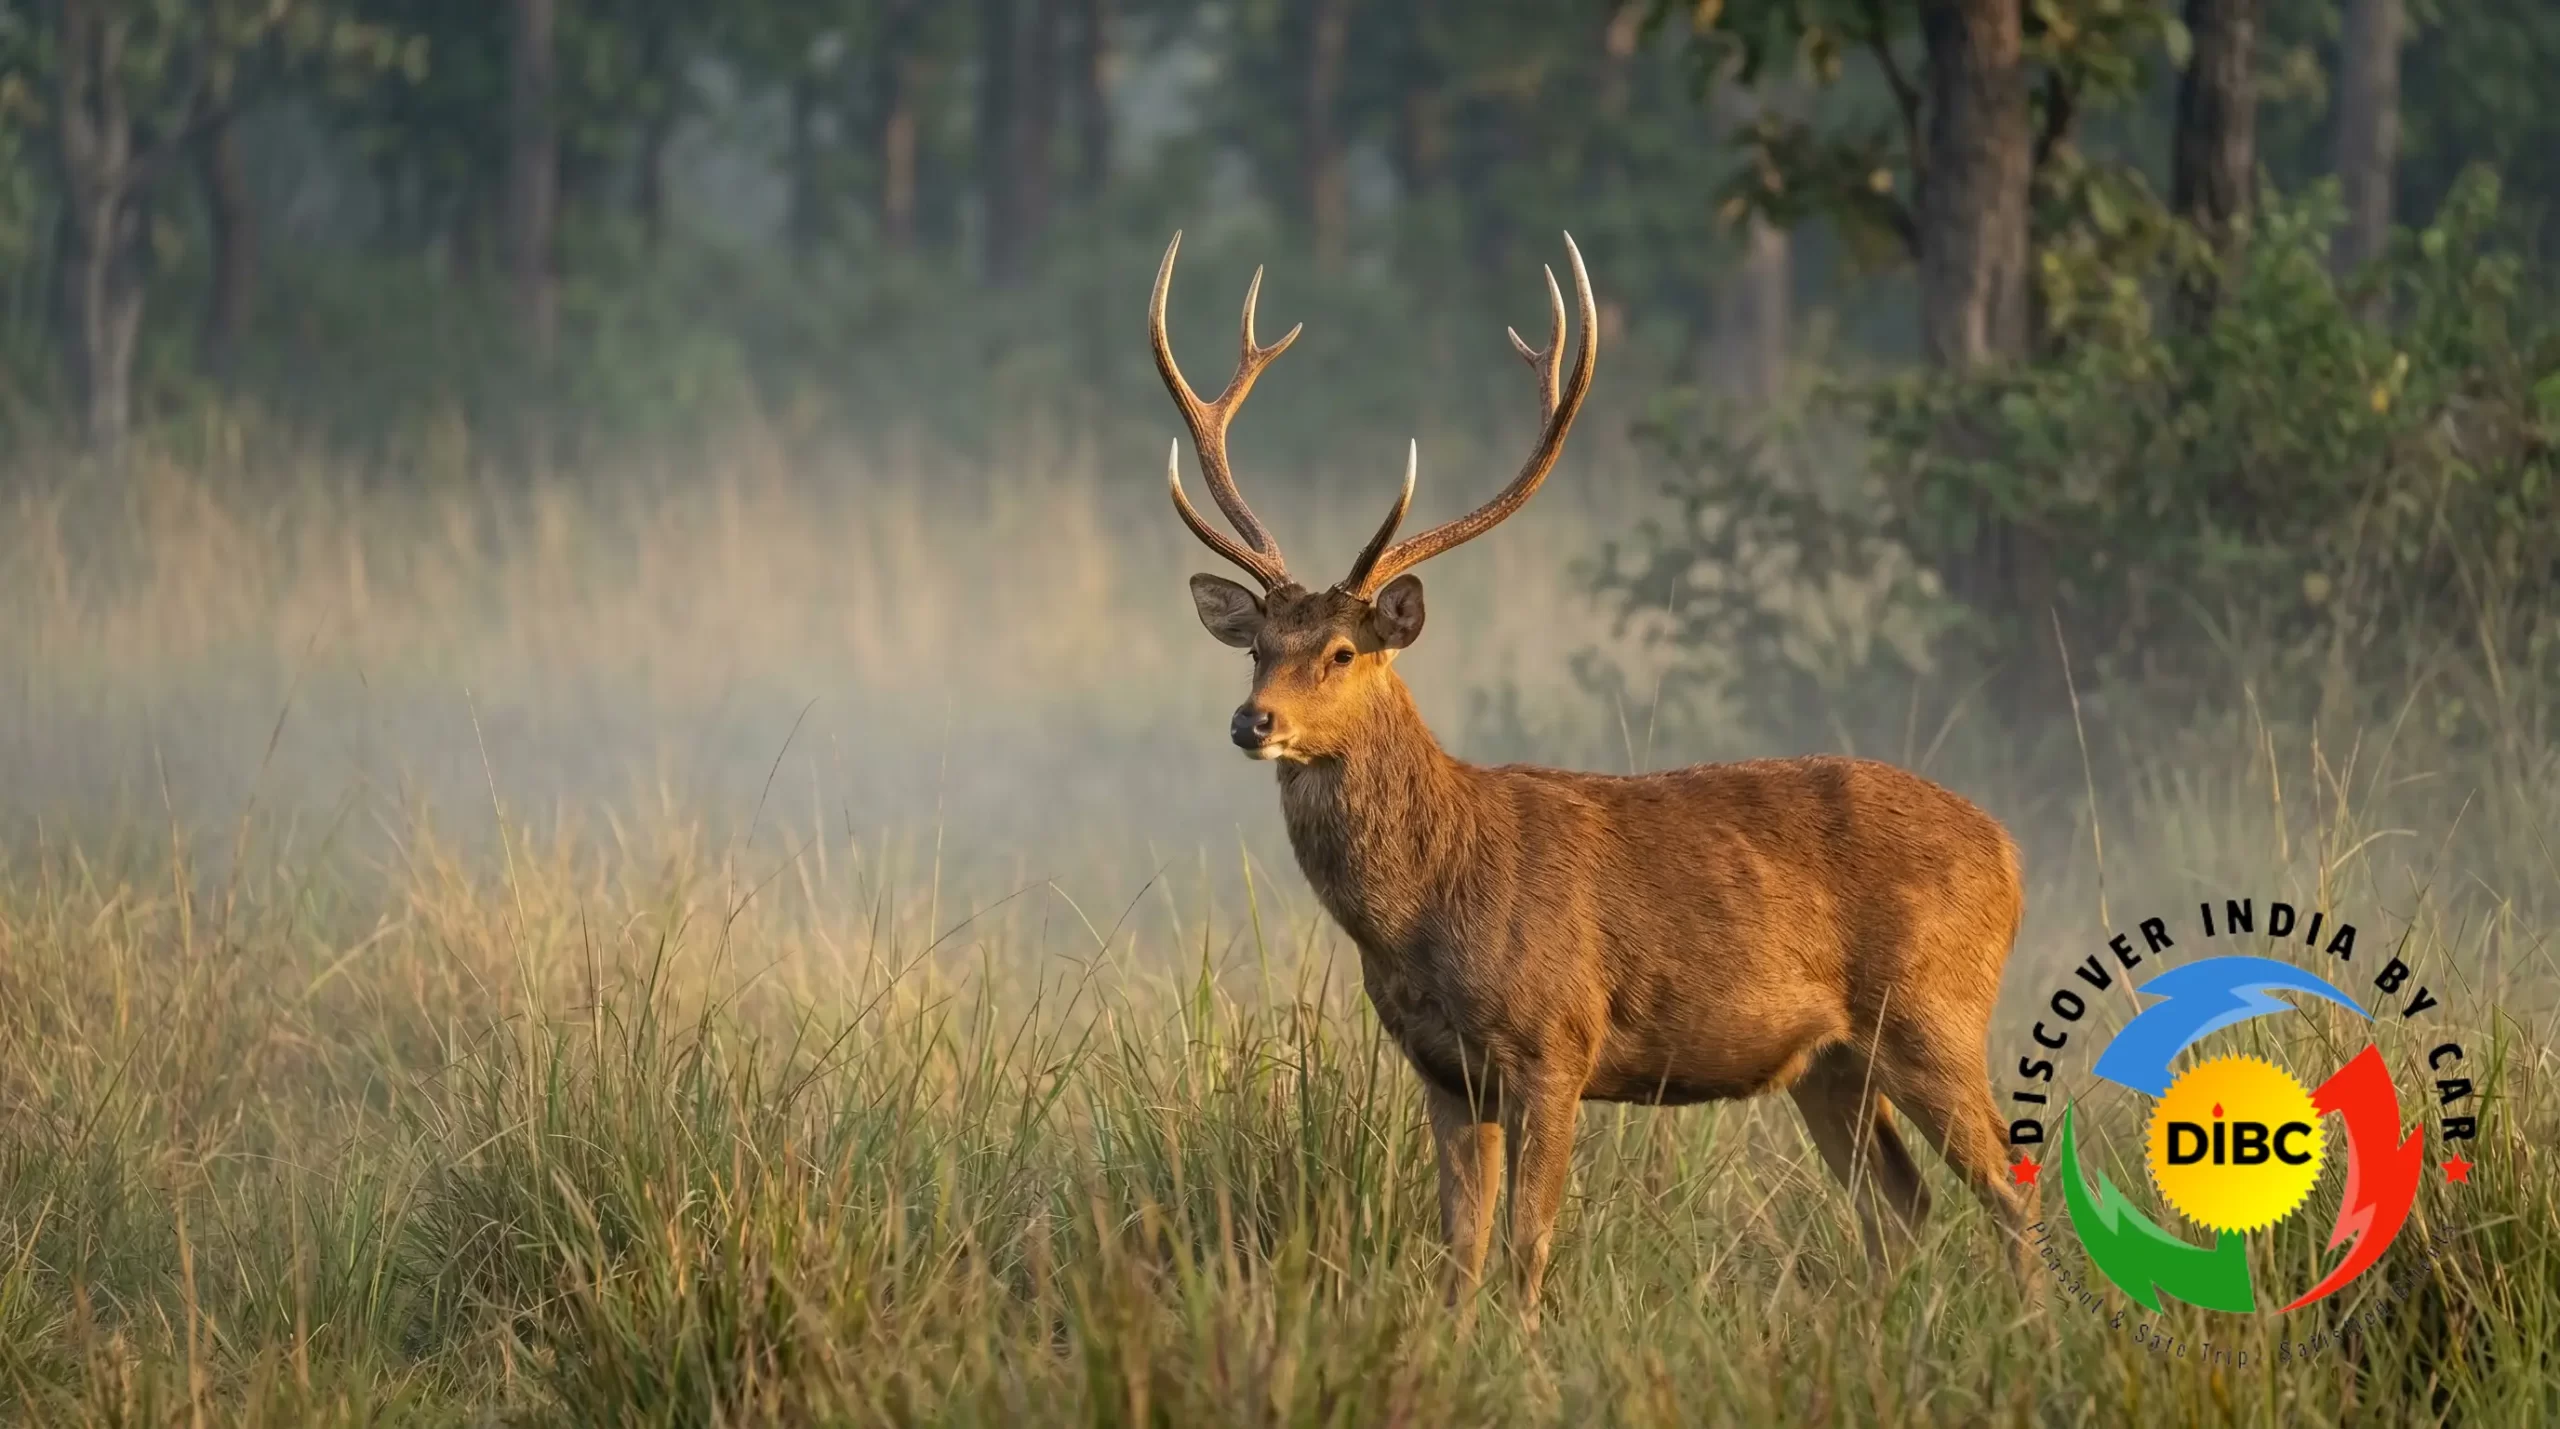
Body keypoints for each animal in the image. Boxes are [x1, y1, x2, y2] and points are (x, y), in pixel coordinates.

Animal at [1146, 230, 2034, 1324]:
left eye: (1343, 652)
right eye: (1258, 647)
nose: (1252, 720)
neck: (1426, 911)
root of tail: (2011, 854)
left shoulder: (1555, 1042)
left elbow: (1528, 1242)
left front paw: (1524, 1347)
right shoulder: (1444, 1071)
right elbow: (1461, 1246)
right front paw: (1451, 1341)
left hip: (1933, 1011)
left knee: (2010, 1189)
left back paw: (2034, 1329)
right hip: (1824, 1062)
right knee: (1900, 1205)